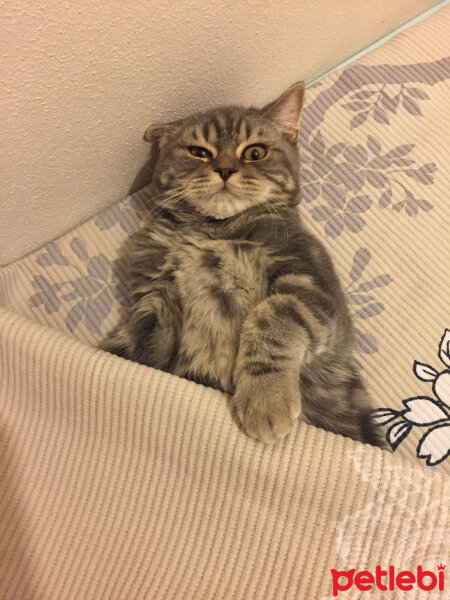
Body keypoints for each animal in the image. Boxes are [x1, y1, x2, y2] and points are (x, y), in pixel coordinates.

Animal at [101, 81, 384, 446]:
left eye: (255, 153)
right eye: (200, 152)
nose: (224, 169)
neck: (213, 230)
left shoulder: (313, 286)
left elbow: (271, 315)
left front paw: (264, 399)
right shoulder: (154, 298)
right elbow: (139, 345)